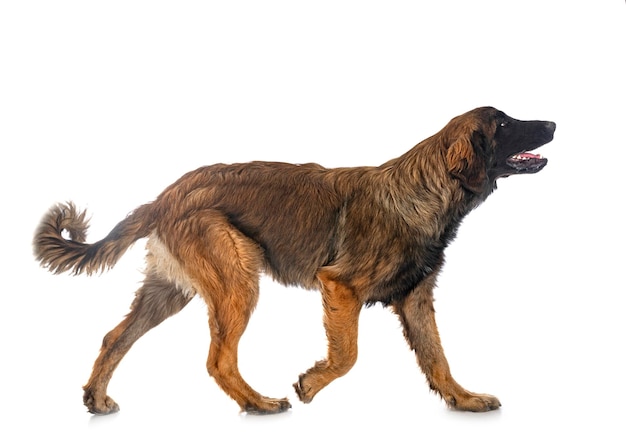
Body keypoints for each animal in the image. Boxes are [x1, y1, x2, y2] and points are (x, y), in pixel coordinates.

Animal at [34, 105, 552, 412]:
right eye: (504, 125)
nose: (551, 123)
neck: (425, 188)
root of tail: (164, 197)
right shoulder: (340, 286)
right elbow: (347, 355)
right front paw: (310, 384)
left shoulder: (415, 300)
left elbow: (438, 358)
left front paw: (463, 399)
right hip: (238, 281)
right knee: (217, 359)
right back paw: (257, 404)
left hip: (170, 291)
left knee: (115, 338)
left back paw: (97, 398)